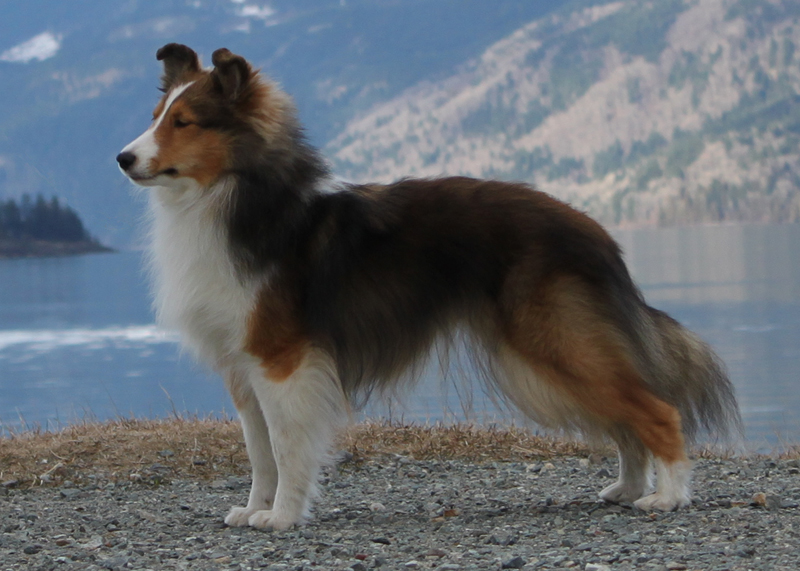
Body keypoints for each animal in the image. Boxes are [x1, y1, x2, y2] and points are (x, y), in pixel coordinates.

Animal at [117, 44, 741, 529]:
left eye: (184, 122)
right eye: (155, 115)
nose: (122, 158)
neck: (232, 198)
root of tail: (597, 232)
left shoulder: (282, 360)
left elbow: (290, 446)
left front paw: (285, 517)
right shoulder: (243, 367)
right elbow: (259, 450)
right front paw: (255, 509)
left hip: (554, 344)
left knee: (657, 410)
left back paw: (668, 496)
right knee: (625, 418)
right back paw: (630, 487)